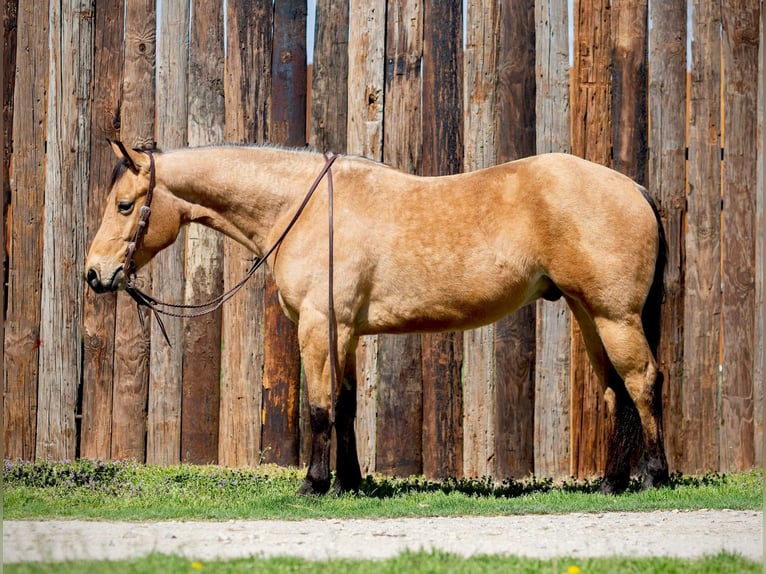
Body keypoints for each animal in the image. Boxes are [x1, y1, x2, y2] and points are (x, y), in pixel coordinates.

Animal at [87, 142, 668, 498]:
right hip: (589, 314)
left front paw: (313, 484)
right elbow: (345, 406)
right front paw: (349, 483)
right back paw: (612, 482)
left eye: (124, 205)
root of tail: (633, 188)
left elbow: (320, 408)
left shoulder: (318, 326)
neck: (305, 208)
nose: (95, 274)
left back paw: (655, 477)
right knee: (616, 391)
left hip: (615, 315)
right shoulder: (344, 332)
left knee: (643, 383)